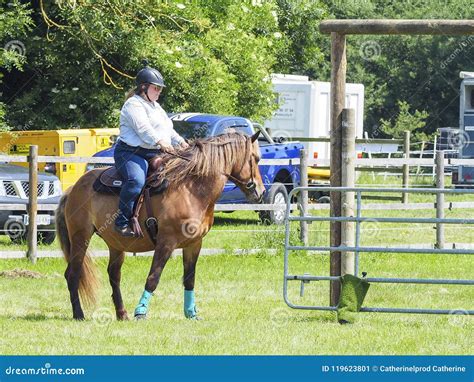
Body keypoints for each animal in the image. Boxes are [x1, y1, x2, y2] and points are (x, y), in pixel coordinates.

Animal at [55, 131, 266, 320]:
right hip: (81, 237)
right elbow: (153, 278)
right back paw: (79, 314)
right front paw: (141, 312)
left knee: (114, 275)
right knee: (73, 274)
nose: (261, 192)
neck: (191, 190)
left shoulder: (194, 244)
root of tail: (73, 188)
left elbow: (189, 279)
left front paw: (191, 313)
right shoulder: (166, 242)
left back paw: (122, 314)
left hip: (115, 244)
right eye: (255, 158)